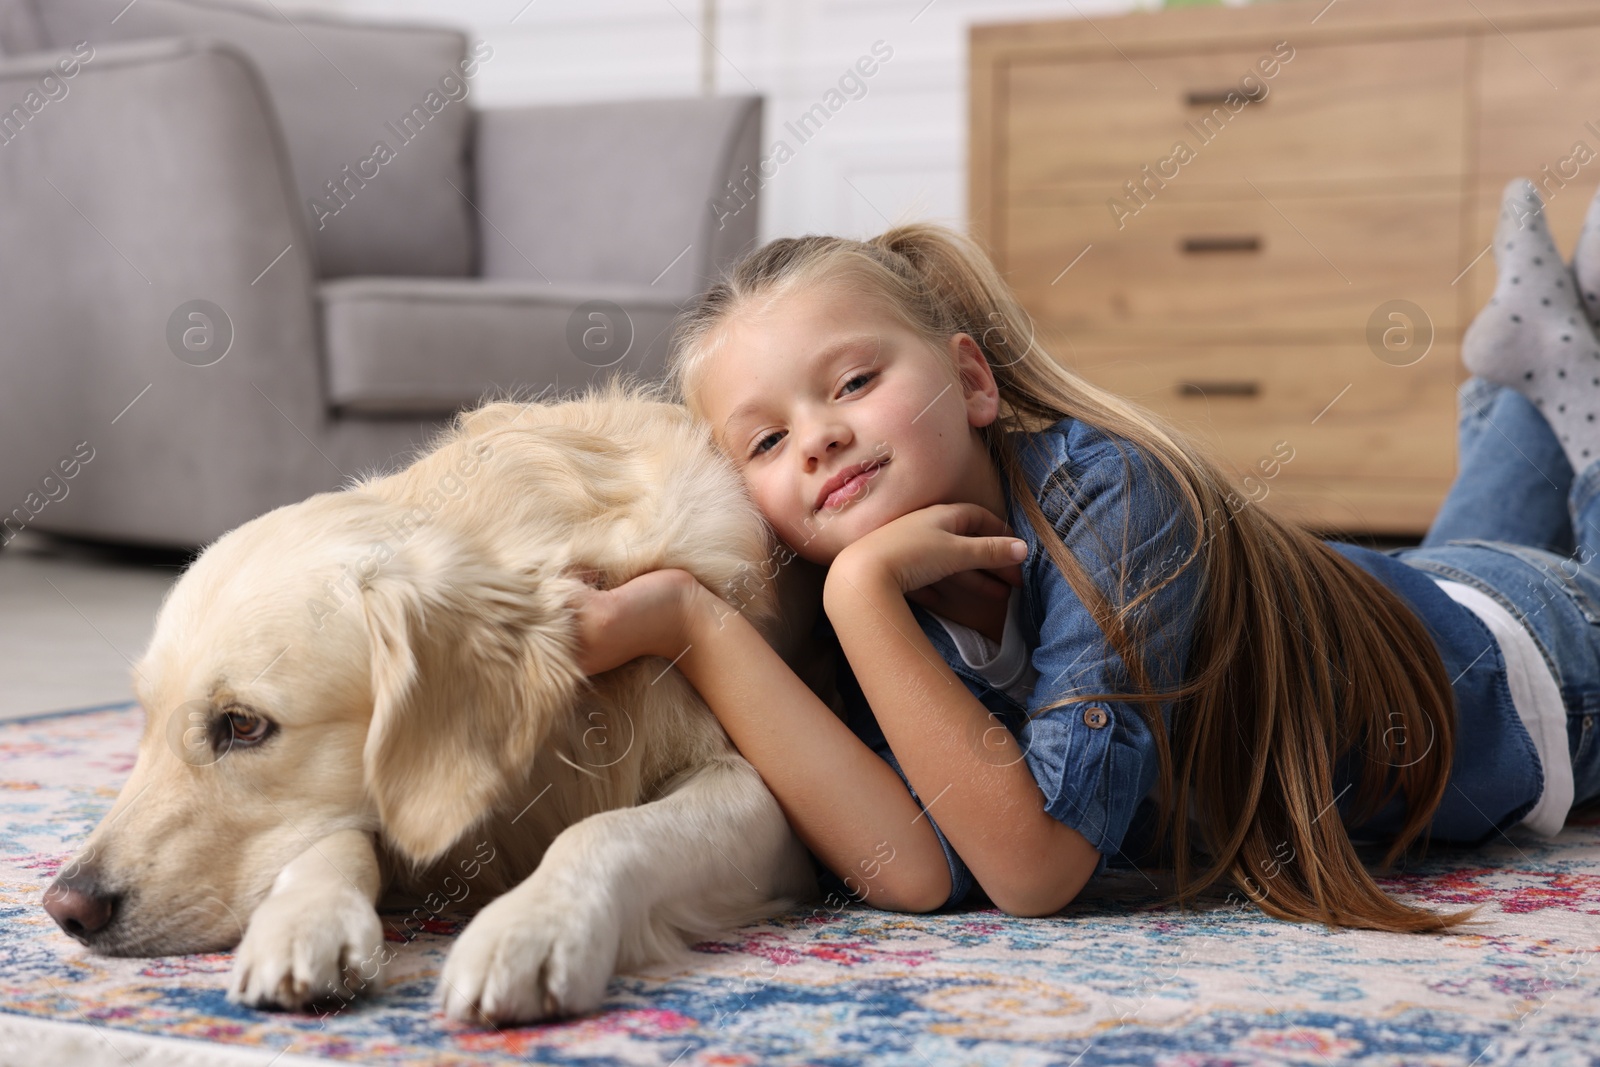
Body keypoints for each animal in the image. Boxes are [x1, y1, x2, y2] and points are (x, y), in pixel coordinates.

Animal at [43, 382, 832, 1023]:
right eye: (146, 721)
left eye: (241, 724)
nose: (66, 907)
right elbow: (338, 837)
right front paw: (301, 920)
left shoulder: (765, 807)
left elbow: (609, 830)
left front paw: (533, 928)